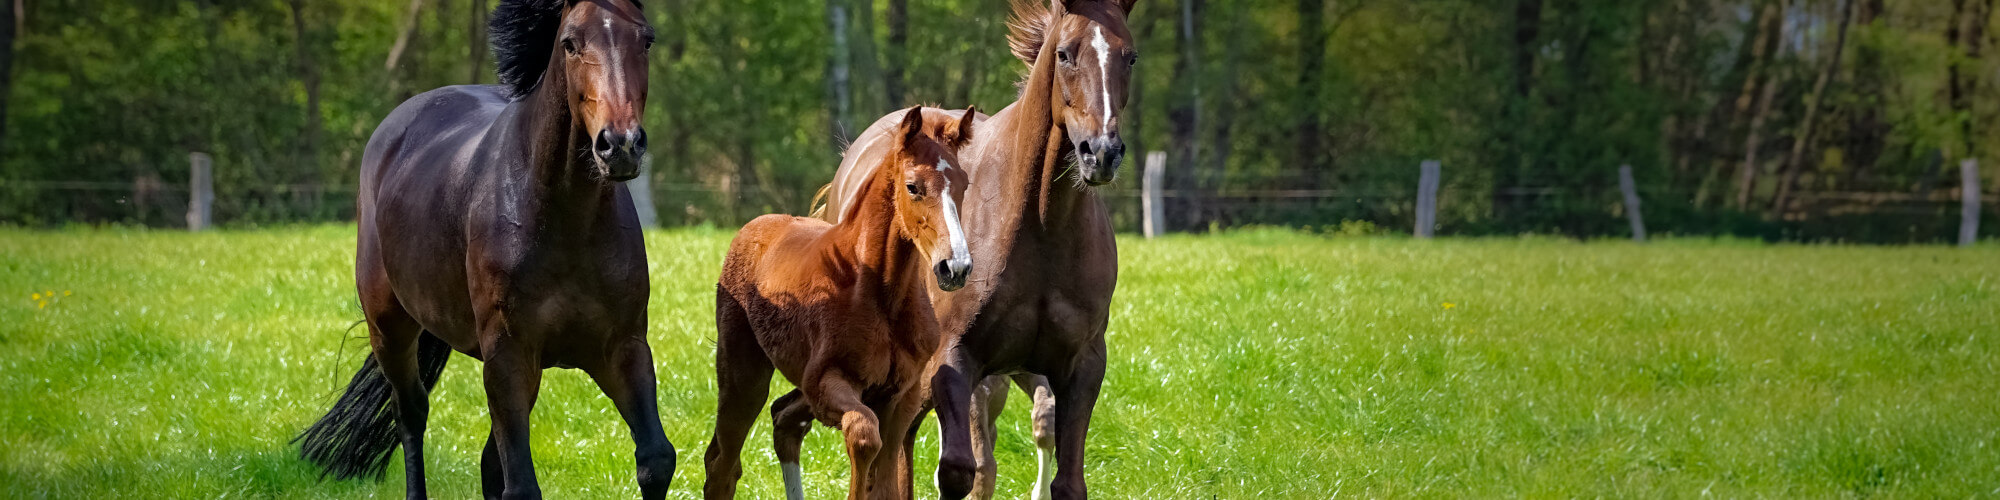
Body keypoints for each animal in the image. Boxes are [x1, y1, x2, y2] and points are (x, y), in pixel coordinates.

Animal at [294, 0, 672, 500]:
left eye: (646, 39)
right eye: (570, 43)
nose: (621, 145)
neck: (562, 220)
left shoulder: (622, 348)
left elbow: (655, 459)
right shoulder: (508, 356)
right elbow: (521, 485)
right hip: (390, 328)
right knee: (410, 414)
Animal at [708, 107, 980, 498]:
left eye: (963, 184)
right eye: (913, 186)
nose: (955, 266)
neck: (881, 295)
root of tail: (754, 227)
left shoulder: (903, 394)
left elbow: (885, 479)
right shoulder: (825, 382)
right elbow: (864, 434)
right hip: (743, 377)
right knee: (723, 465)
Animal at [808, 1, 1128, 498]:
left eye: (1129, 56)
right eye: (1064, 54)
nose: (1102, 152)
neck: (1041, 227)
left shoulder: (1080, 366)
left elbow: (1066, 475)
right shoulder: (956, 363)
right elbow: (962, 469)